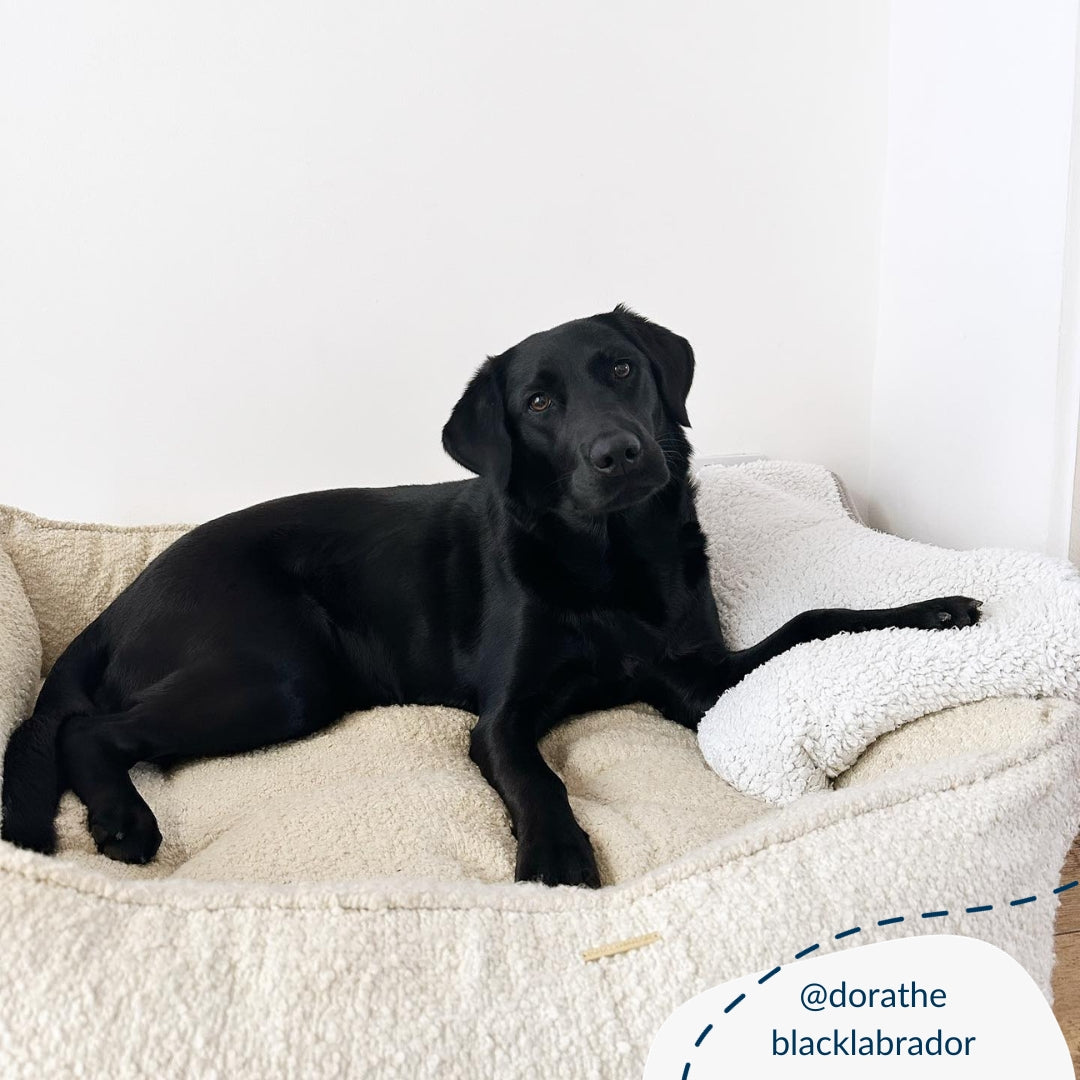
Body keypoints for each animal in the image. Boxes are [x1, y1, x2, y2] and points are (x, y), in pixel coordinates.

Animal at [0, 308, 980, 881]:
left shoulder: (694, 677)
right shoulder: (502, 718)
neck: (610, 564)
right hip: (280, 676)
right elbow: (536, 776)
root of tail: (121, 600)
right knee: (89, 729)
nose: (619, 454)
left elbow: (817, 618)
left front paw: (933, 611)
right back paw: (123, 821)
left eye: (621, 370)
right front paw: (557, 853)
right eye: (538, 403)